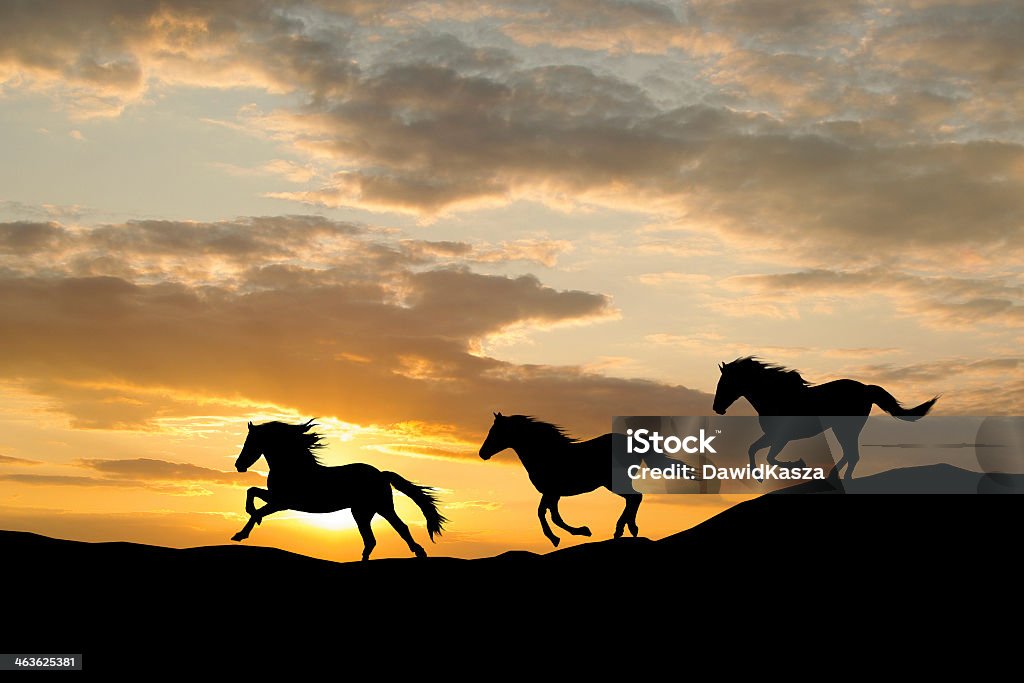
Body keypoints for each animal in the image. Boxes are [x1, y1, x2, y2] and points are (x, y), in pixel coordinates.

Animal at [479, 411, 638, 548]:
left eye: (494, 432)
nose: (482, 453)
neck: (546, 453)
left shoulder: (551, 492)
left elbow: (545, 514)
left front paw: (557, 538)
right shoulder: (552, 494)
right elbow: (551, 515)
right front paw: (579, 532)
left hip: (613, 482)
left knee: (634, 498)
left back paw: (622, 529)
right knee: (633, 499)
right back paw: (630, 528)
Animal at [712, 358, 937, 481]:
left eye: (725, 383)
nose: (716, 408)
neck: (775, 395)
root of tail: (865, 388)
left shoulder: (782, 437)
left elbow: (769, 457)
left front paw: (798, 464)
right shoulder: (773, 436)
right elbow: (752, 449)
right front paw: (758, 477)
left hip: (844, 428)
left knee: (852, 454)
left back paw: (840, 478)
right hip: (842, 429)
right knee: (851, 454)